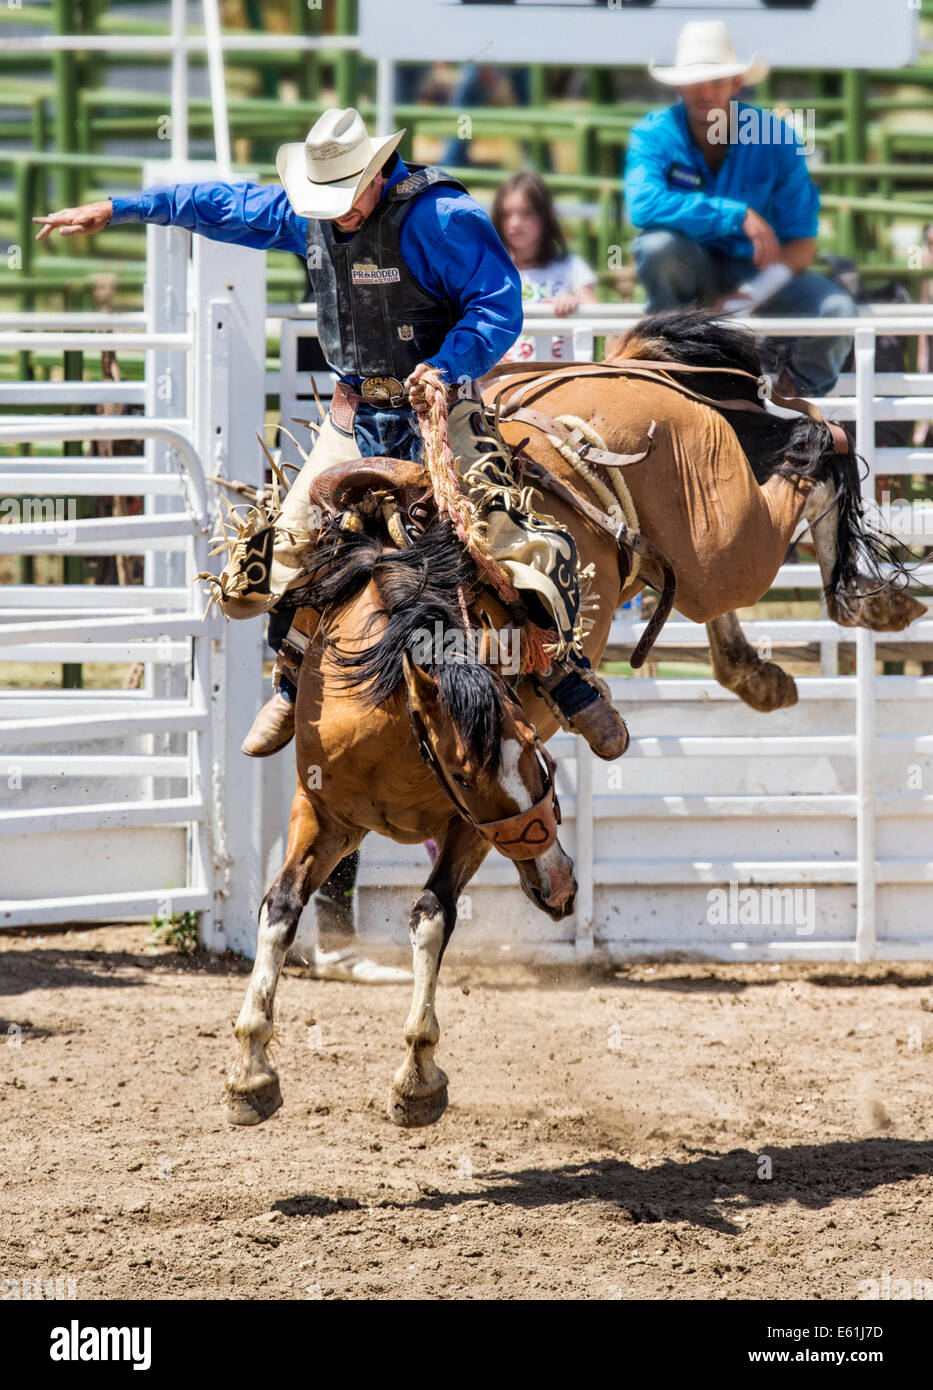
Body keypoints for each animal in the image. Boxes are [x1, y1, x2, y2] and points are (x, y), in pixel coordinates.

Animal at [222, 312, 923, 1128]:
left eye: (540, 758)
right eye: (472, 770)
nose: (561, 889)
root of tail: (614, 367)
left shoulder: (468, 828)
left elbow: (431, 913)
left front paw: (418, 1076)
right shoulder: (327, 811)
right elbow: (279, 908)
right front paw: (250, 1069)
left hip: (723, 532)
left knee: (807, 453)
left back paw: (870, 594)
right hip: (690, 561)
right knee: (707, 590)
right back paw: (758, 671)